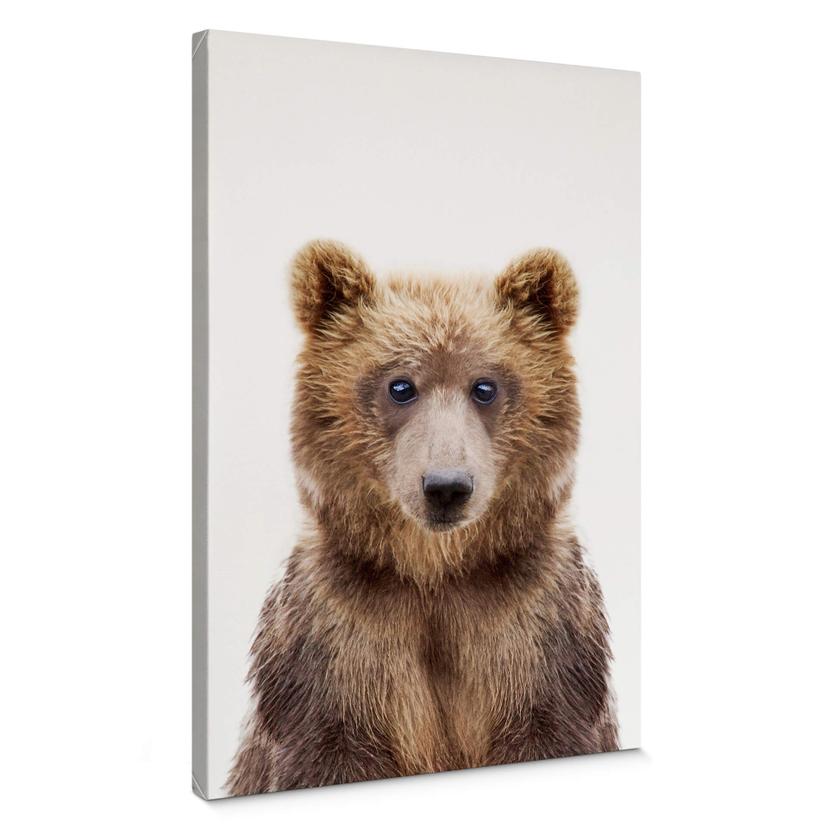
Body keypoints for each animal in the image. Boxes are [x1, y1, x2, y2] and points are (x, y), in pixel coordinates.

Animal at [226, 240, 618, 795]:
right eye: (400, 386)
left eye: (485, 386)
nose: (446, 487)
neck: (434, 572)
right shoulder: (335, 645)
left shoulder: (537, 635)